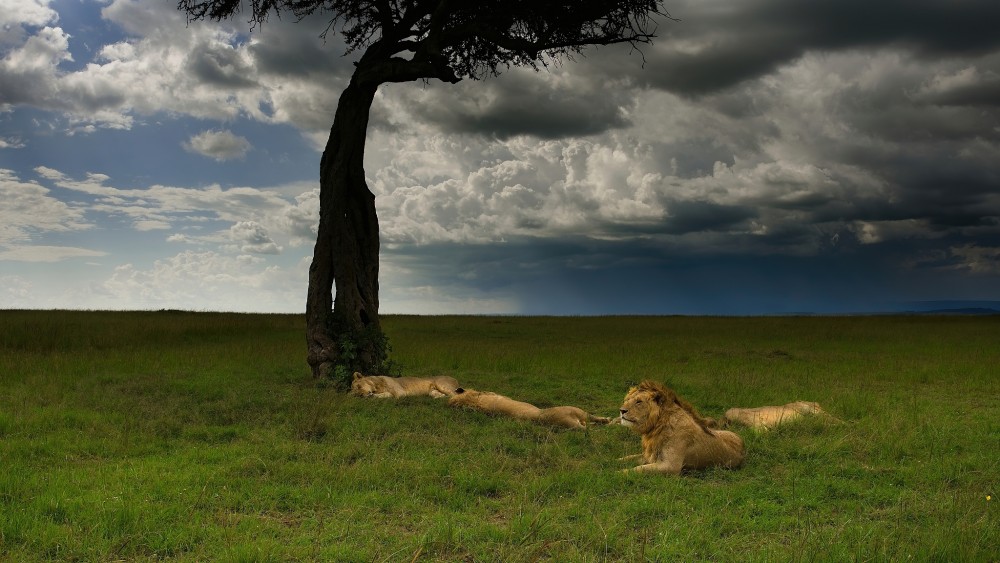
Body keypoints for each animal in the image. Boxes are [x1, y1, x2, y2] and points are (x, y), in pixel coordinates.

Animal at [616, 378, 744, 476]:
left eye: (639, 402)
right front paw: (613, 461)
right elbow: (628, 457)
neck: (656, 427)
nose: (622, 410)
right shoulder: (650, 456)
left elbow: (639, 469)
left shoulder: (671, 466)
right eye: (627, 400)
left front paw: (618, 473)